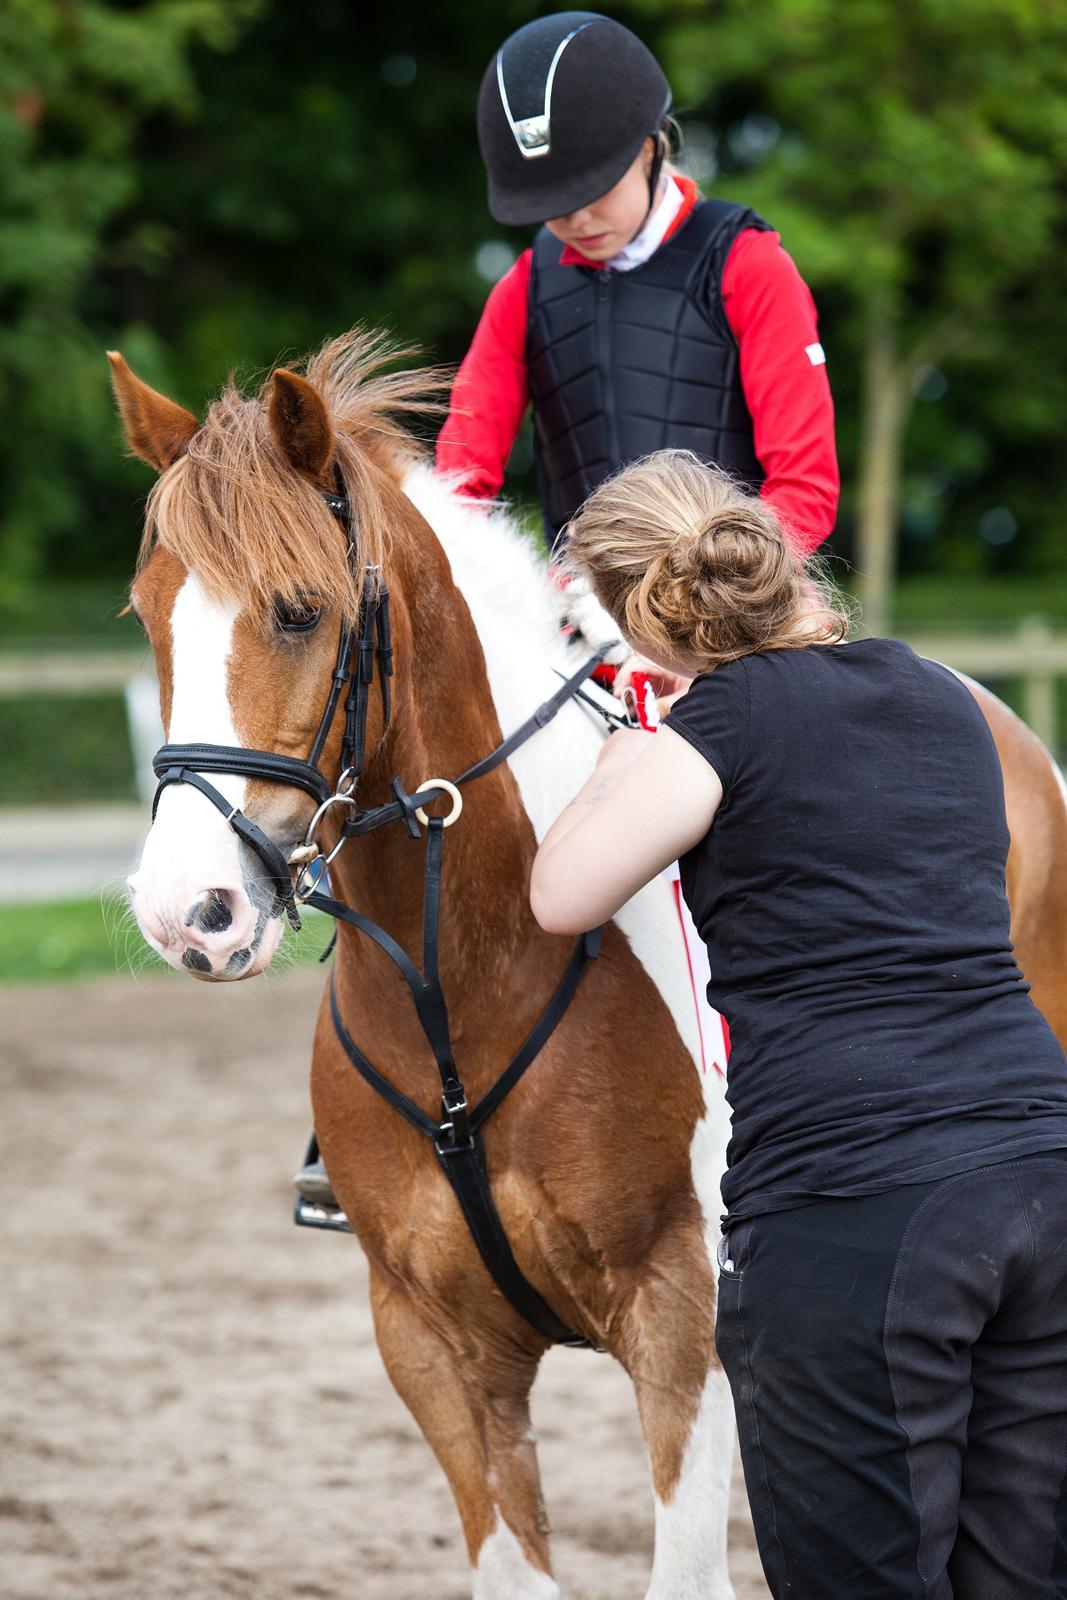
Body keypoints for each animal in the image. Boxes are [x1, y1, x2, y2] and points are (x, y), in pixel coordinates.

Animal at [108, 331, 1067, 1593]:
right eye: (148, 614)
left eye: (300, 611)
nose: (191, 914)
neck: (469, 981)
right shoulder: (429, 1342)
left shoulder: (685, 1318)